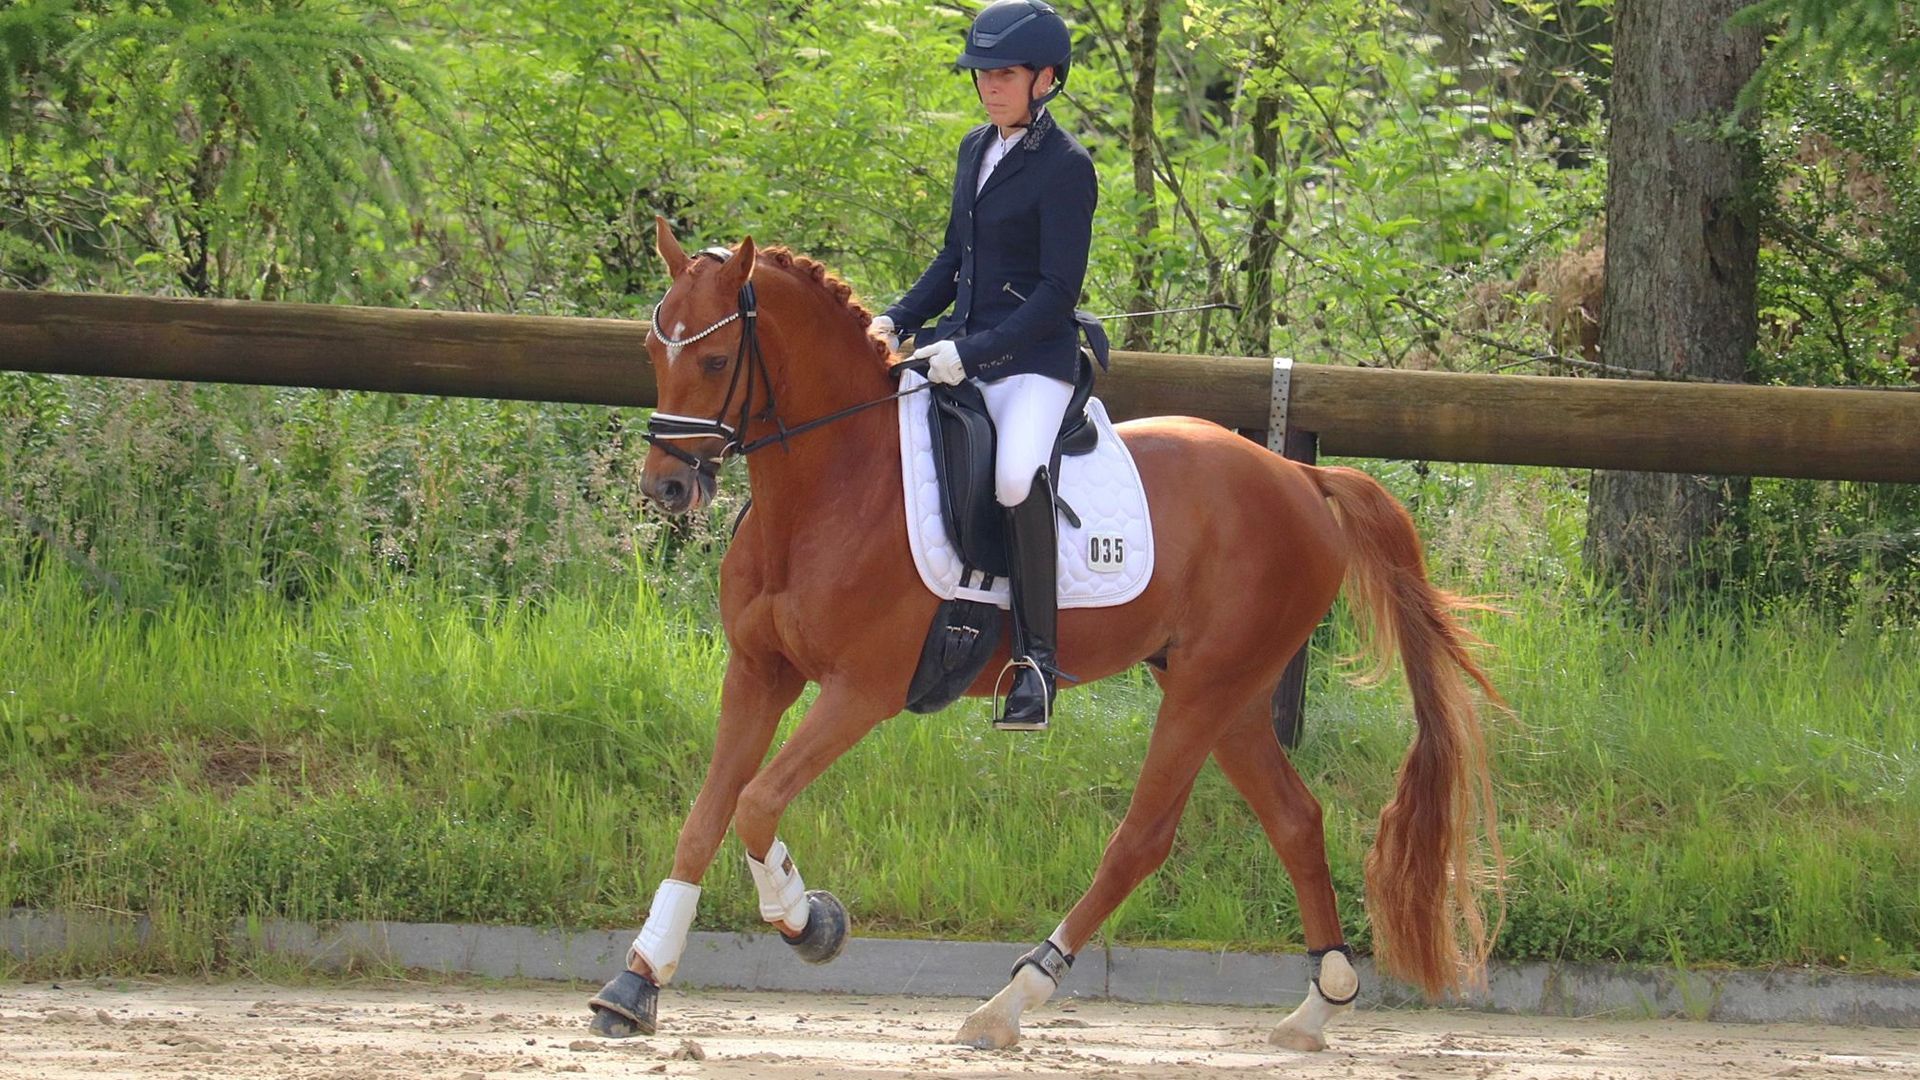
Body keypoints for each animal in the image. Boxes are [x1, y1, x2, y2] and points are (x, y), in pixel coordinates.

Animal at [587, 216, 1503, 1053]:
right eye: (652, 351)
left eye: (713, 362)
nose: (667, 488)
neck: (829, 484)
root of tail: (1303, 478)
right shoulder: (758, 672)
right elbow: (706, 817)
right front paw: (634, 986)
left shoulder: (862, 690)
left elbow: (755, 802)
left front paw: (809, 921)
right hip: (1229, 691)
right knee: (1295, 819)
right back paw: (1319, 1005)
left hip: (1209, 687)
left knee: (1142, 839)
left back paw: (1011, 1001)